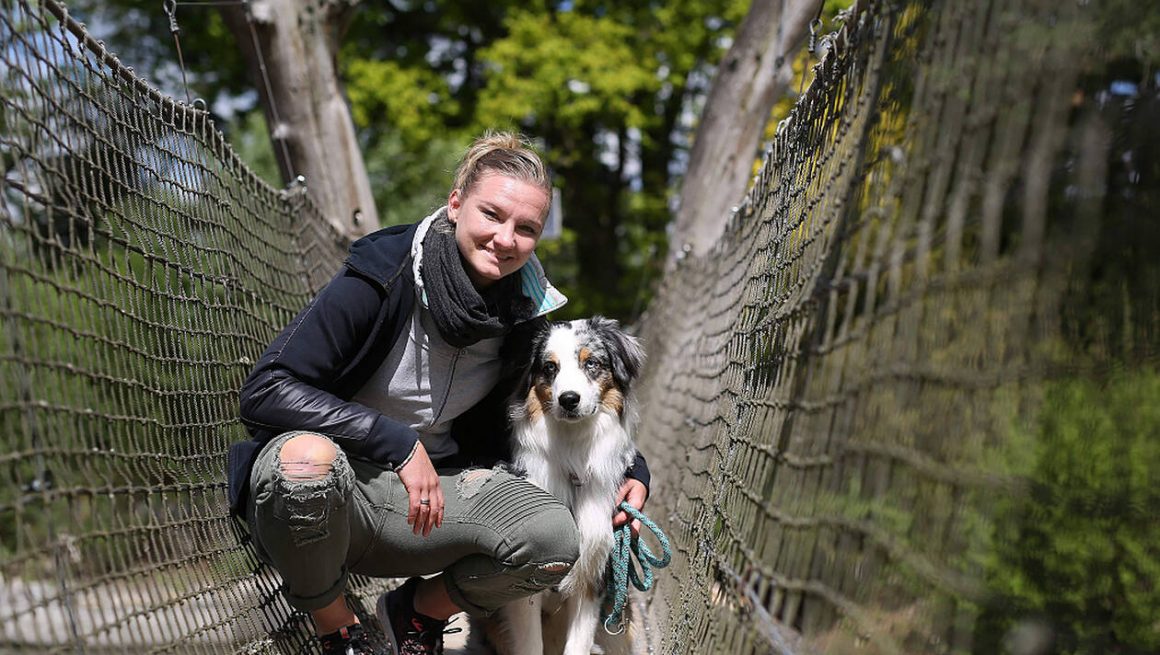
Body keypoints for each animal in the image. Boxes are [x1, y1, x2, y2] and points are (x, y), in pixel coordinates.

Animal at [477, 313, 644, 649]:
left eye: (591, 363)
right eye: (550, 367)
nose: (569, 400)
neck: (572, 452)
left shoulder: (592, 576)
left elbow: (578, 645)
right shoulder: (523, 593)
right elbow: (530, 645)